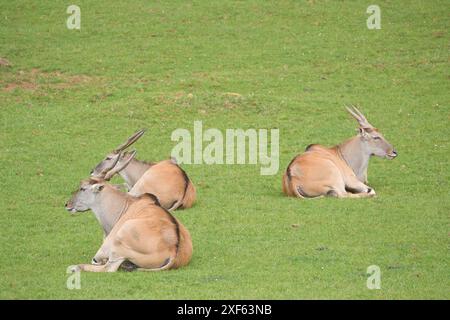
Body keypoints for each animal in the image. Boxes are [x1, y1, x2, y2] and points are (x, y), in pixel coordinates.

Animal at [64, 178, 192, 272]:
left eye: (82, 188)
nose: (67, 204)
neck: (126, 206)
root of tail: (173, 252)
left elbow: (97, 261)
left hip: (121, 237)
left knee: (109, 268)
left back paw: (75, 267)